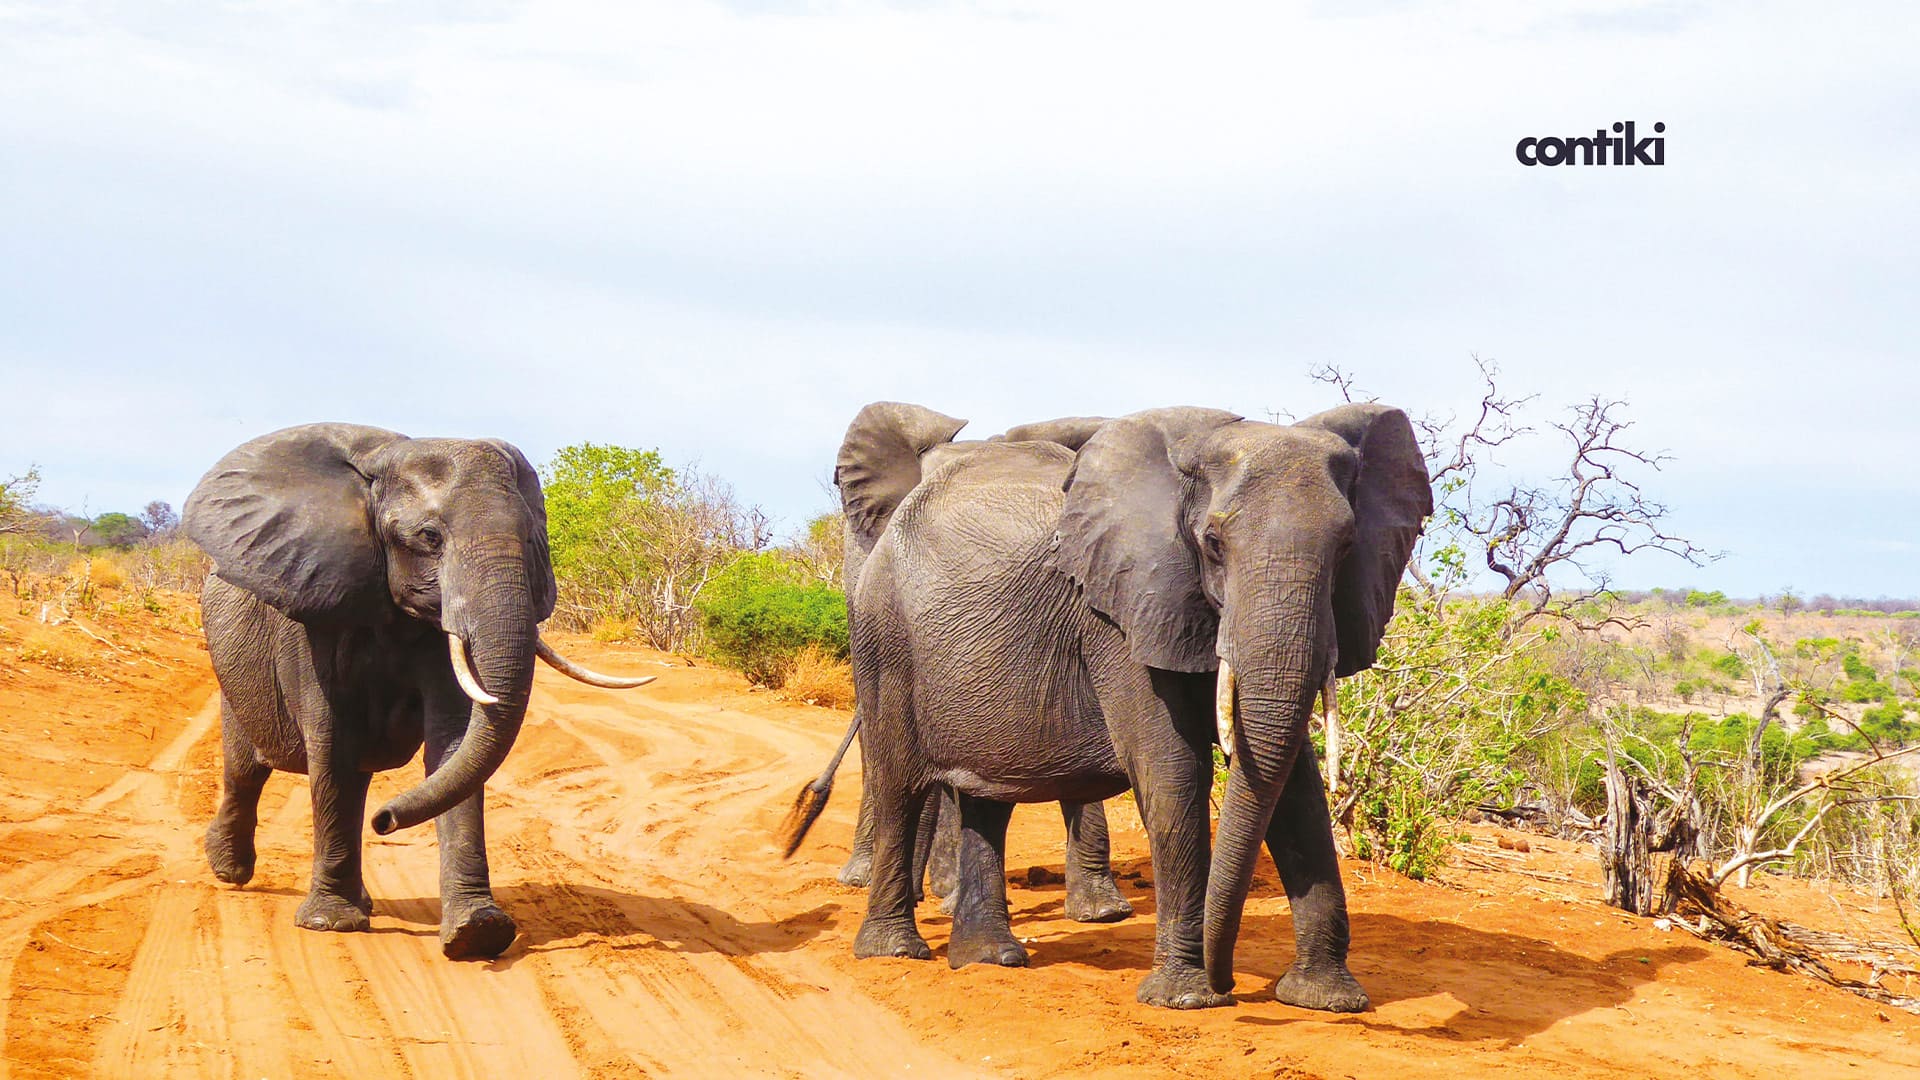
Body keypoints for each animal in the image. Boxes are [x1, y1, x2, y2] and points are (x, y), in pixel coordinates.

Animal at [183, 424, 655, 959]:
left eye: (531, 536)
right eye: (429, 537)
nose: (386, 820)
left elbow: (453, 743)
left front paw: (478, 932)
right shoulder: (313, 613)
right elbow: (331, 745)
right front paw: (330, 924)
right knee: (247, 768)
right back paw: (230, 869)